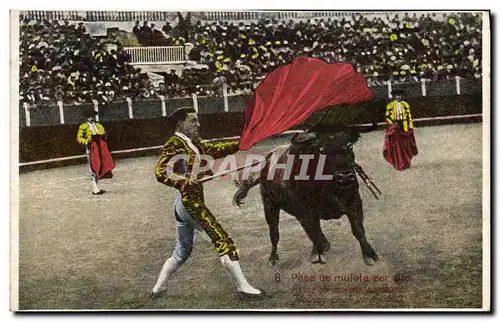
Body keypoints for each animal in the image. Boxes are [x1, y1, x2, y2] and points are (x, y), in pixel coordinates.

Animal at [233, 124, 378, 266]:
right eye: (321, 149)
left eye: (349, 146)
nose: (346, 176)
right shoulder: (306, 211)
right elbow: (313, 231)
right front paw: (317, 254)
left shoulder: (354, 203)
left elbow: (358, 229)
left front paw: (369, 255)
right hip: (269, 206)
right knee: (274, 232)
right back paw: (273, 258)